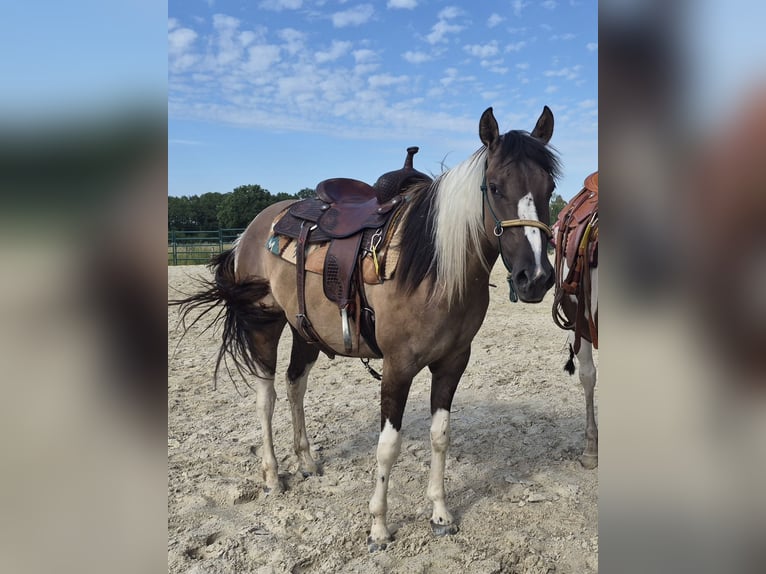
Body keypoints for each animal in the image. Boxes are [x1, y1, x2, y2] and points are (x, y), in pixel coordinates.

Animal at [173, 107, 561, 551]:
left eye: (550, 187)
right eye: (494, 187)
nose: (535, 278)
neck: (435, 268)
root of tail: (249, 232)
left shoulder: (452, 362)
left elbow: (441, 435)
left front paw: (440, 513)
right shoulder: (397, 366)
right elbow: (388, 447)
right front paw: (378, 526)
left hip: (304, 330)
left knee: (295, 385)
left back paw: (306, 461)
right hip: (264, 325)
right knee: (265, 398)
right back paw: (272, 476)